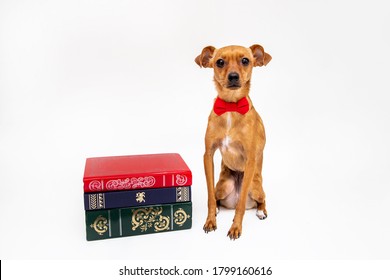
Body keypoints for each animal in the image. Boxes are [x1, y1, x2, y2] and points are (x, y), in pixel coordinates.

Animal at [195, 44, 272, 240]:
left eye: (245, 60)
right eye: (220, 62)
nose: (233, 76)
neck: (230, 106)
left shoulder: (250, 159)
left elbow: (241, 205)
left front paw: (236, 227)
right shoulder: (208, 155)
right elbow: (210, 198)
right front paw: (210, 220)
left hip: (254, 185)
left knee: (261, 199)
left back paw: (261, 211)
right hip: (223, 185)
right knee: (218, 198)